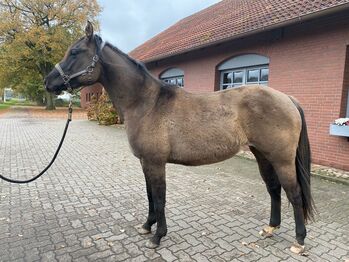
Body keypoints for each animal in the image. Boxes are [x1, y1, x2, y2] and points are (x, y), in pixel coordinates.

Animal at [44, 22, 314, 254]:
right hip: (262, 154)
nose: (48, 81)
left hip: (281, 159)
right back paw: (270, 228)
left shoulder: (155, 162)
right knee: (274, 189)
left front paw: (157, 236)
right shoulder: (145, 162)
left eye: (74, 52)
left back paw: (299, 241)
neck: (146, 103)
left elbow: (160, 198)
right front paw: (147, 226)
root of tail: (288, 99)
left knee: (294, 193)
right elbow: (150, 196)